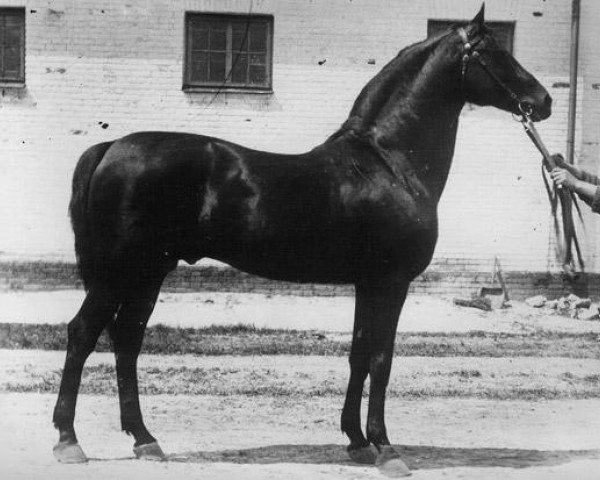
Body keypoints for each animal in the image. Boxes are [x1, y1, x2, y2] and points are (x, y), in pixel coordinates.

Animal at [54, 6, 552, 476]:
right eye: (495, 52)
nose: (542, 101)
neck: (389, 163)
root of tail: (111, 147)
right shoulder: (391, 282)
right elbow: (381, 359)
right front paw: (386, 449)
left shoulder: (366, 284)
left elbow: (357, 354)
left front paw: (356, 441)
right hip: (120, 271)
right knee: (82, 333)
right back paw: (68, 441)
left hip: (150, 271)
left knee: (127, 339)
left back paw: (144, 439)